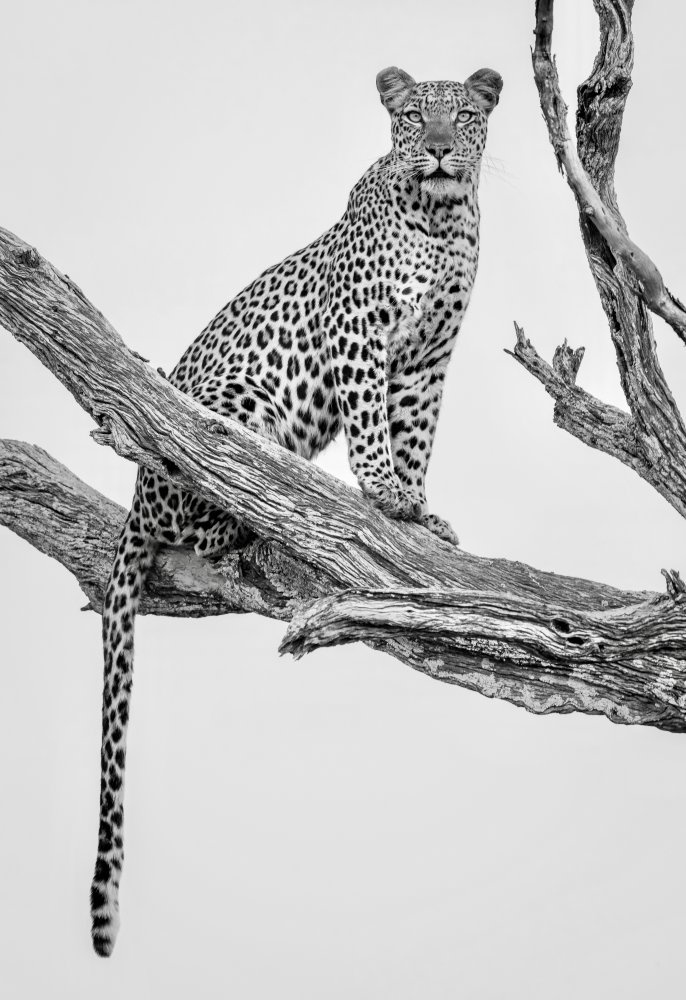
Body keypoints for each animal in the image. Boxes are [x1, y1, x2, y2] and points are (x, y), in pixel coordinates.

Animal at [90, 64, 503, 956]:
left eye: (464, 115)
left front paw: (418, 512)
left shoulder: (428, 359)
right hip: (231, 409)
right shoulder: (361, 334)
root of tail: (133, 507)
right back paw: (252, 510)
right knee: (209, 490)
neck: (444, 219)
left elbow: (416, 433)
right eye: (413, 117)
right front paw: (382, 494)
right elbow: (373, 425)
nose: (437, 150)